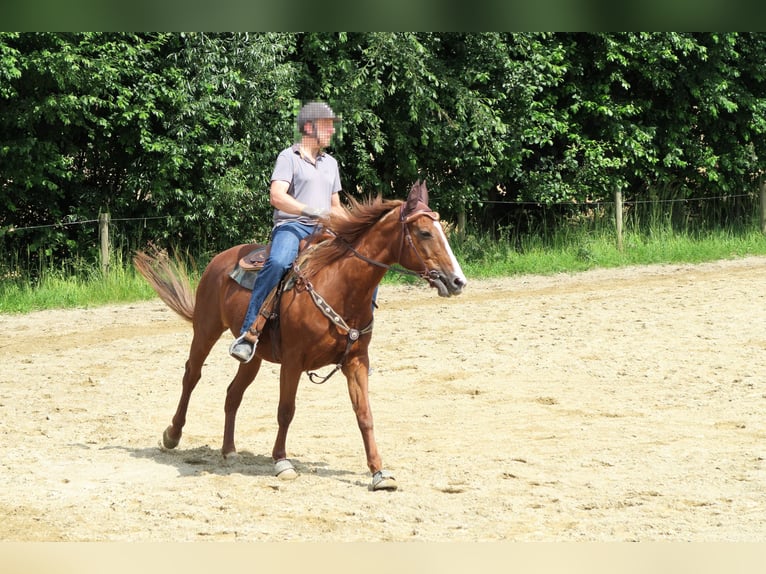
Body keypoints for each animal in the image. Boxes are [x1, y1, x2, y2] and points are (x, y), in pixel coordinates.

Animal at [134, 180, 464, 490]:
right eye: (424, 232)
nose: (458, 281)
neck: (341, 285)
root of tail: (219, 260)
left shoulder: (357, 361)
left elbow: (364, 415)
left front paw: (379, 473)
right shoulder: (293, 362)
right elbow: (286, 411)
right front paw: (282, 461)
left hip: (253, 356)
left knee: (233, 393)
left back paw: (229, 451)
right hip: (205, 329)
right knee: (192, 375)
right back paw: (172, 435)